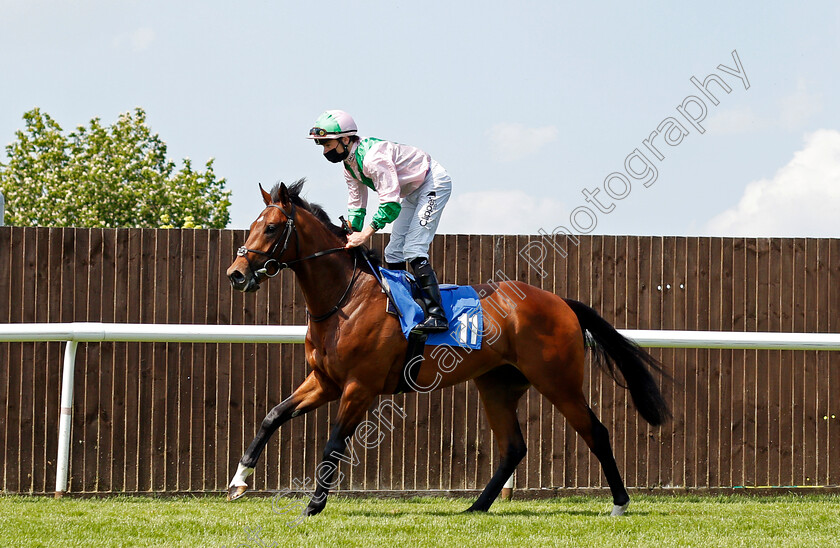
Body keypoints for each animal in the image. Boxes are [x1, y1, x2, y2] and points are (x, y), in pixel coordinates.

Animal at [225, 180, 668, 520]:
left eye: (271, 228)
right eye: (252, 226)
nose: (236, 274)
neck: (345, 299)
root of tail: (561, 301)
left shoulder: (359, 387)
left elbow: (334, 444)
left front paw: (312, 506)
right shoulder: (324, 381)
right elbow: (272, 416)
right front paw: (238, 481)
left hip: (558, 382)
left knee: (596, 431)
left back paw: (619, 503)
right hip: (497, 385)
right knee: (513, 446)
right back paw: (476, 507)